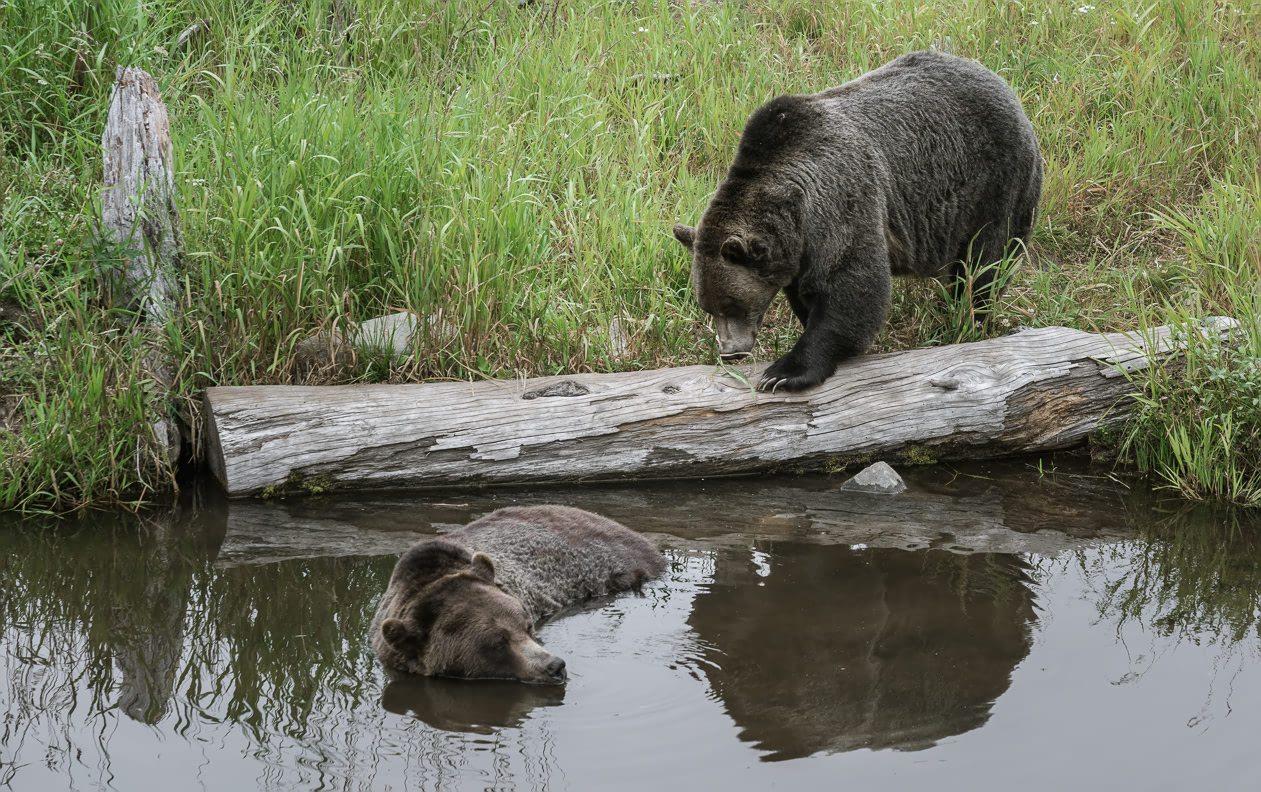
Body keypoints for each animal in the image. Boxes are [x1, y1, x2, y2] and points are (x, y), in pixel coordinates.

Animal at [670, 51, 1044, 390]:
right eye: (707, 306)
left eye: (730, 304)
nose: (730, 351)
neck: (794, 214)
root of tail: (1003, 84)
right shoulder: (800, 250)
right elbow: (809, 295)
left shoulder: (842, 201)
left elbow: (851, 288)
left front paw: (784, 373)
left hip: (995, 184)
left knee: (985, 262)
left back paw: (969, 317)